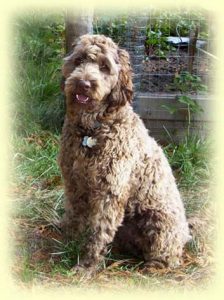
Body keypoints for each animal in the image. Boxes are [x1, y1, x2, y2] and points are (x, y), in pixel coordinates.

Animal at [58, 34, 191, 274]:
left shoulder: (109, 192)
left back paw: (152, 267)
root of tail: (187, 233)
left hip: (160, 223)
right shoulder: (73, 183)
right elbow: (73, 216)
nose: (84, 84)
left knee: (168, 256)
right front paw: (67, 244)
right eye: (79, 60)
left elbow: (99, 232)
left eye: (104, 66)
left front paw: (87, 265)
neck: (92, 130)